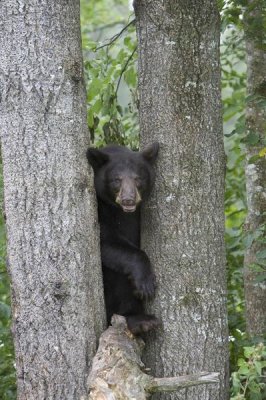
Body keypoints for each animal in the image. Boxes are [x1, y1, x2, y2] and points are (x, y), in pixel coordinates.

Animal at [86, 144, 159, 334]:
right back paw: (138, 320)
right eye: (116, 180)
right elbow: (105, 240)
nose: (128, 199)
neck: (121, 211)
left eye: (137, 178)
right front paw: (145, 283)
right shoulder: (99, 209)